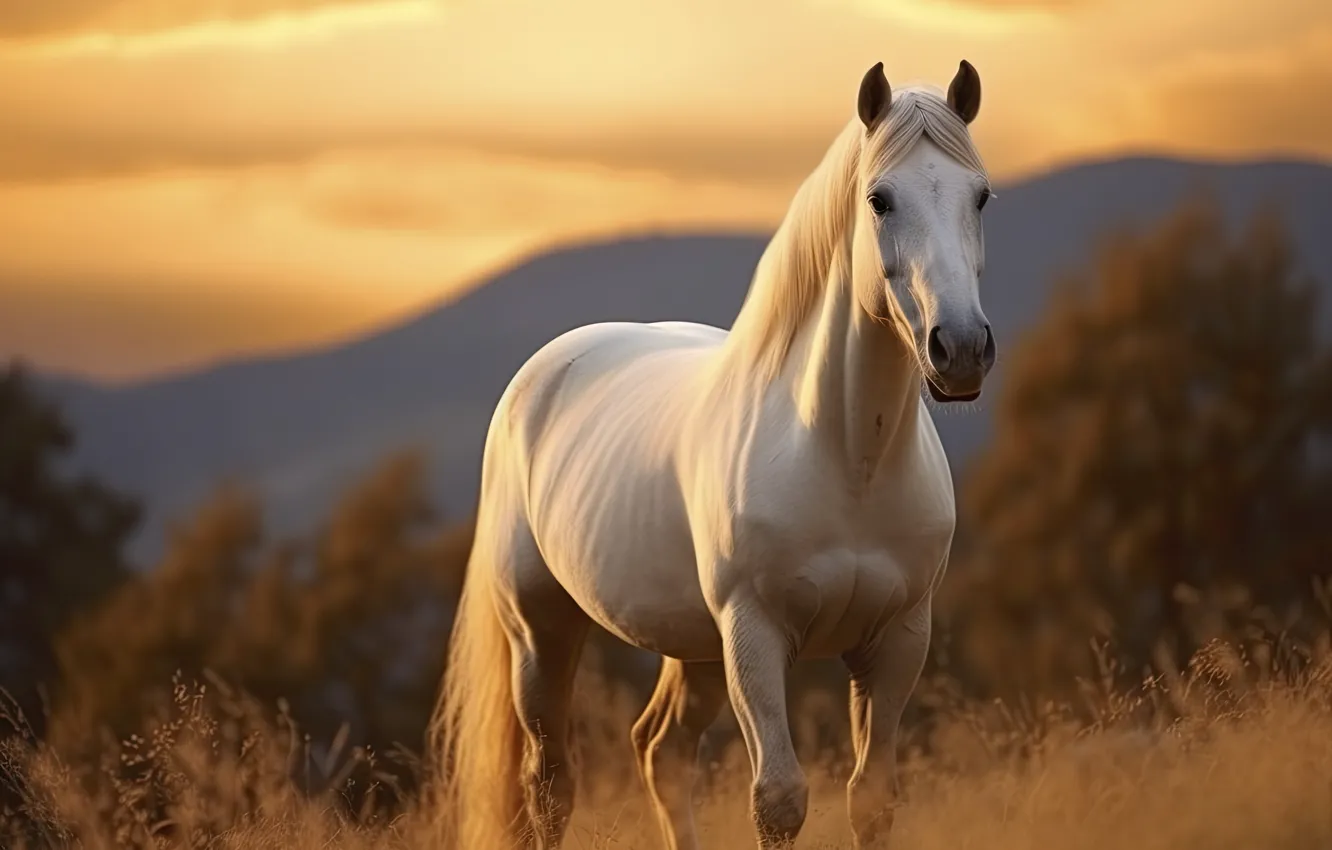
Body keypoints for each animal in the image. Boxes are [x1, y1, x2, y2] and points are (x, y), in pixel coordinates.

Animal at [430, 59, 996, 850]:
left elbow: (871, 798)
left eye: (981, 195)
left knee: (660, 752)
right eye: (879, 199)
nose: (963, 350)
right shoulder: (754, 637)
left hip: (692, 648)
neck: (847, 458)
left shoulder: (897, 641)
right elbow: (779, 799)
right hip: (542, 634)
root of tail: (541, 375)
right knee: (550, 787)